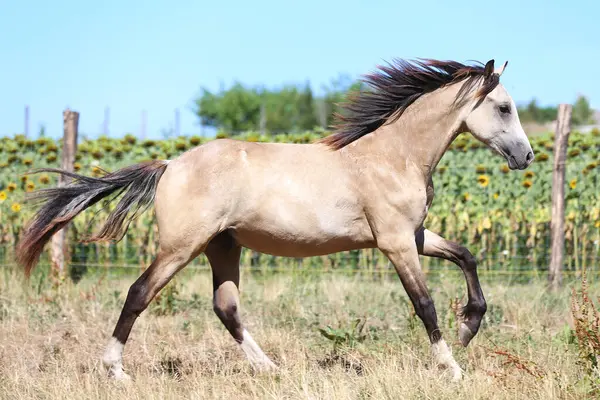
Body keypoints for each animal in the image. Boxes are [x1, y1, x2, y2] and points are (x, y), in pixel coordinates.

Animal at [16, 58, 536, 382]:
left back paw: (269, 370)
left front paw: (469, 326)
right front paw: (452, 366)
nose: (526, 156)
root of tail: (169, 165)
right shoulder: (395, 242)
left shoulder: (416, 234)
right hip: (182, 246)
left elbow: (466, 256)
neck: (393, 155)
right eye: (504, 107)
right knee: (139, 293)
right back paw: (114, 369)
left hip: (223, 246)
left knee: (225, 308)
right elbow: (424, 304)